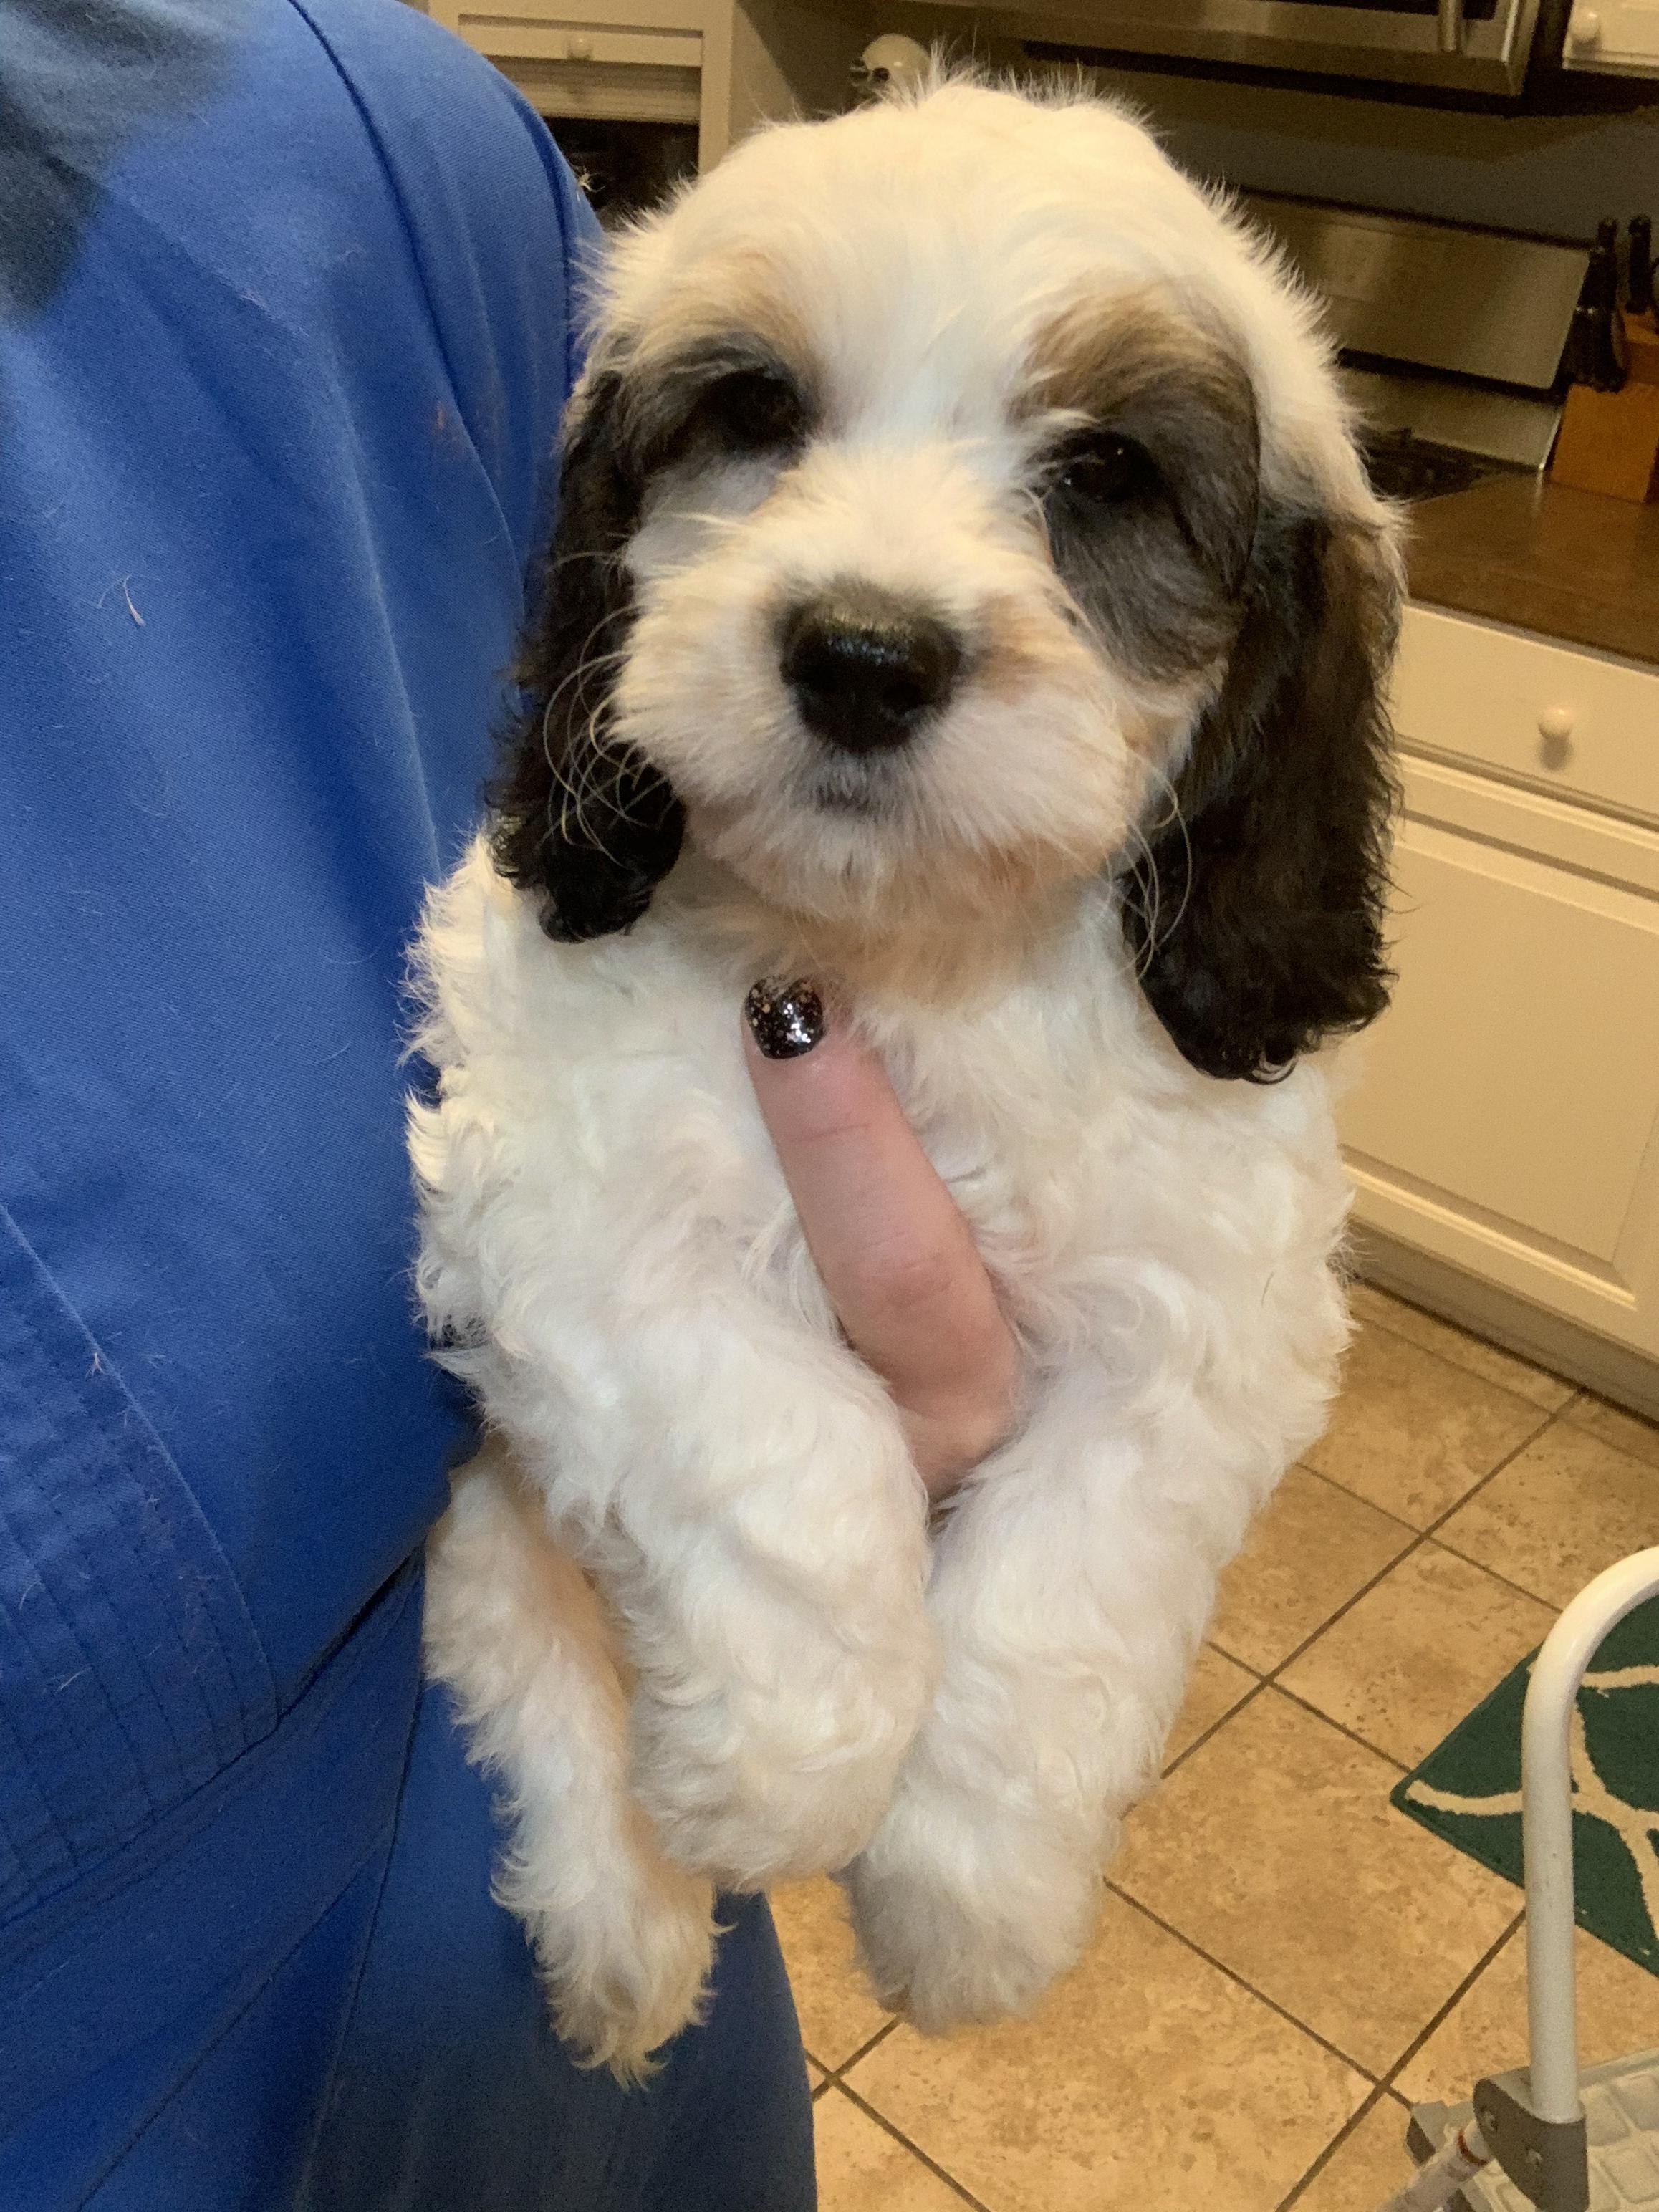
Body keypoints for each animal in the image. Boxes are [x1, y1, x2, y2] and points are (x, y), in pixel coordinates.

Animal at [410, 72, 1400, 2081]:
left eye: (1105, 476)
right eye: (753, 414)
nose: (862, 653)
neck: (912, 963)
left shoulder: (1200, 1323)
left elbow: (1066, 1587)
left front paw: (965, 1898)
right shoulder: (564, 1202)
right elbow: (788, 1457)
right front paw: (788, 1772)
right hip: (486, 1513)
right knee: (535, 1657)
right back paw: (627, 1923)